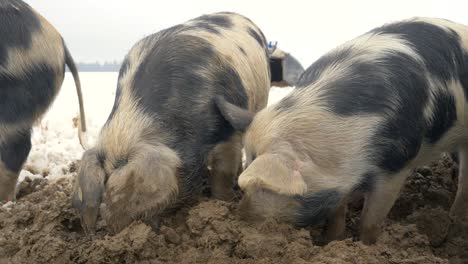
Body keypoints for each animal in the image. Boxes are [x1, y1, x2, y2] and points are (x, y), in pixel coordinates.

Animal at [218, 17, 468, 245]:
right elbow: (337, 212)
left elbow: (370, 220)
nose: (242, 219)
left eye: (263, 187)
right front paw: (330, 241)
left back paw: (454, 228)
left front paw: (366, 247)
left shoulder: (396, 164)